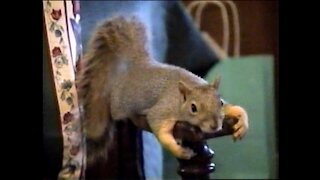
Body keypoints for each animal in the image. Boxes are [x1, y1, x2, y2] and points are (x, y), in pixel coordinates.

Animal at [76, 15, 249, 165]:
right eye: (193, 108)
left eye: (220, 102)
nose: (215, 126)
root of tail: (141, 64)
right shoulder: (164, 109)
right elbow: (159, 127)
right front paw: (177, 149)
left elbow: (234, 109)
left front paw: (241, 119)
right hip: (120, 103)